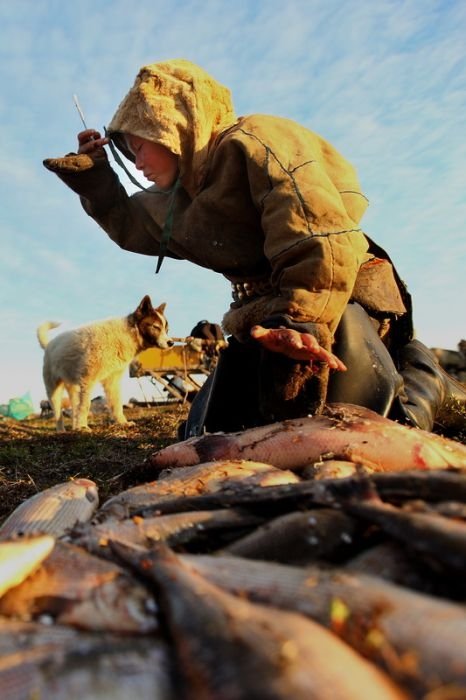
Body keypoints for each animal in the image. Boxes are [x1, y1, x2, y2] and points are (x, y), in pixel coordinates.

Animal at [36, 296, 171, 430]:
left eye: (166, 329)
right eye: (156, 327)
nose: (171, 342)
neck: (128, 335)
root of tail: (49, 345)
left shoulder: (112, 381)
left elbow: (116, 404)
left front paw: (123, 423)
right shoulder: (88, 379)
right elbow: (86, 405)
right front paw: (83, 426)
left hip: (73, 388)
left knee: (75, 407)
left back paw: (75, 428)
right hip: (54, 391)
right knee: (58, 413)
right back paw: (62, 430)